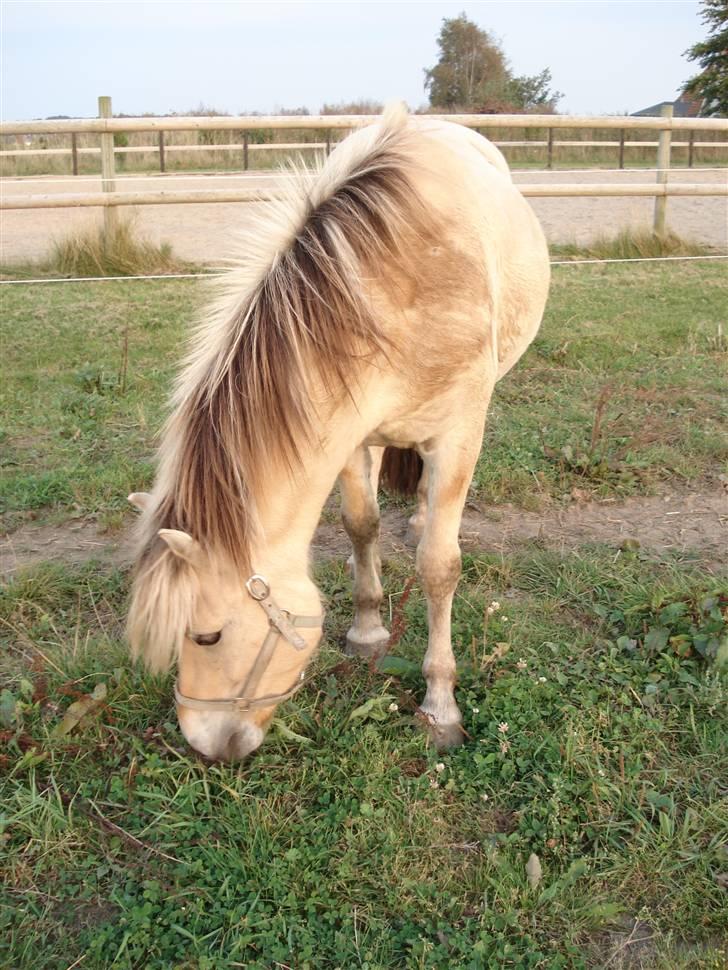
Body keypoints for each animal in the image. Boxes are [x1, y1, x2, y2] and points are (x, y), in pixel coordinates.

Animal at [128, 104, 548, 756]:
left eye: (207, 637)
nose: (204, 744)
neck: (398, 287)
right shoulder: (347, 436)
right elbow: (360, 524)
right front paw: (368, 628)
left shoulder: (457, 437)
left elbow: (439, 568)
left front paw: (440, 705)